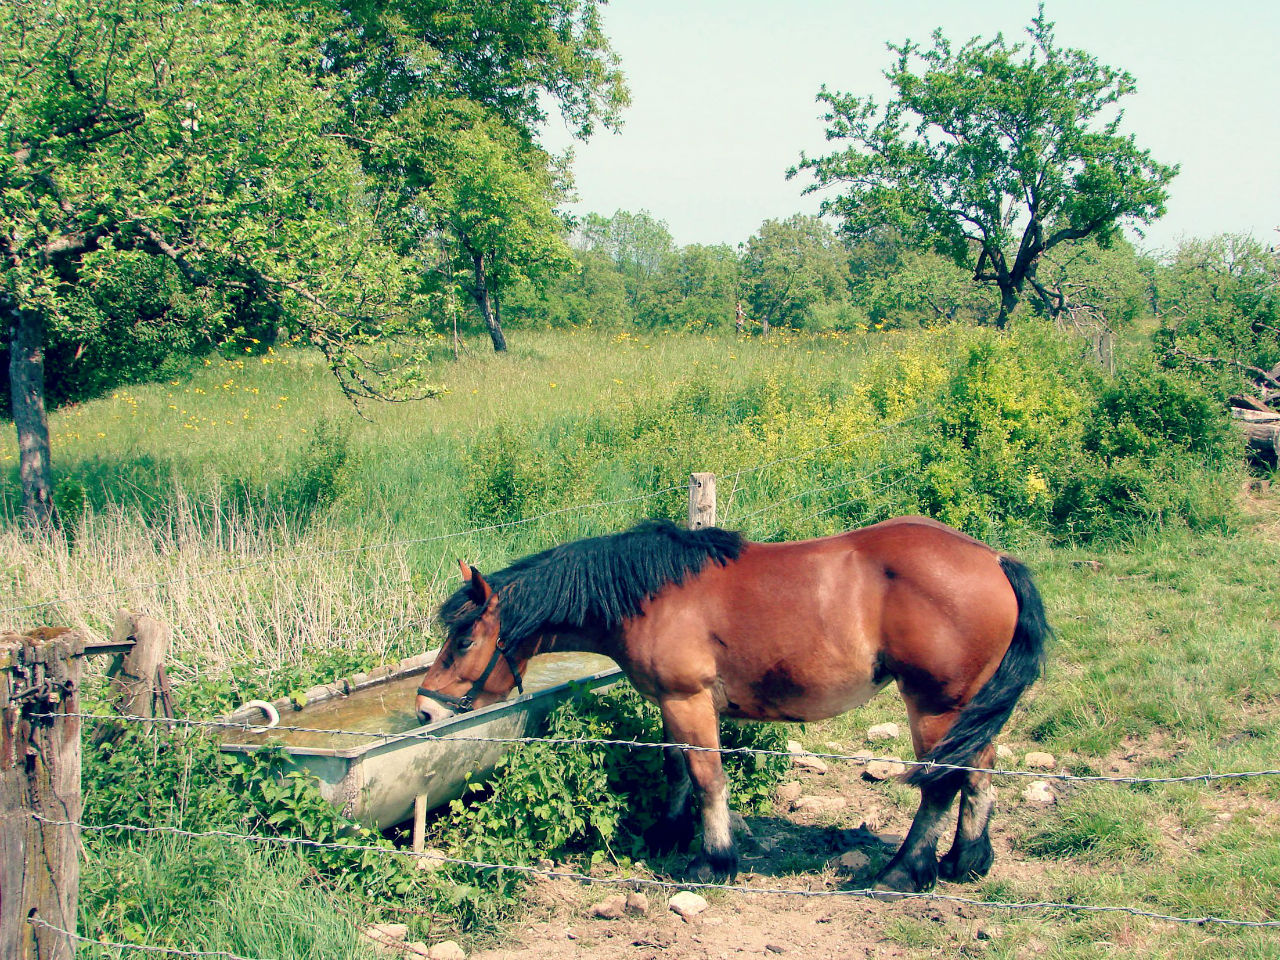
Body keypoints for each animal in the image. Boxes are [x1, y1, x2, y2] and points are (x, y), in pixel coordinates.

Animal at [414, 519, 1044, 896]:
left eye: (464, 640)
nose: (423, 710)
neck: (652, 595)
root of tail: (995, 559)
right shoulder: (670, 703)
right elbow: (676, 769)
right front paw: (667, 835)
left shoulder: (689, 700)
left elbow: (707, 777)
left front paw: (712, 861)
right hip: (967, 710)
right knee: (980, 772)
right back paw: (965, 860)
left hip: (934, 707)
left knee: (941, 785)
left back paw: (901, 873)